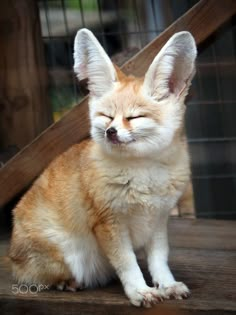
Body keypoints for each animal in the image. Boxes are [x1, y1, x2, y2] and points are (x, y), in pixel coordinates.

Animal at [8, 28, 197, 308]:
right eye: (106, 117)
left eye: (134, 117)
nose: (111, 131)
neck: (144, 173)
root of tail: (10, 253)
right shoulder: (109, 223)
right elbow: (128, 264)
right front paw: (140, 291)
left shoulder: (158, 219)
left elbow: (159, 259)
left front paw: (167, 284)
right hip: (68, 254)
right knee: (40, 276)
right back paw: (67, 282)